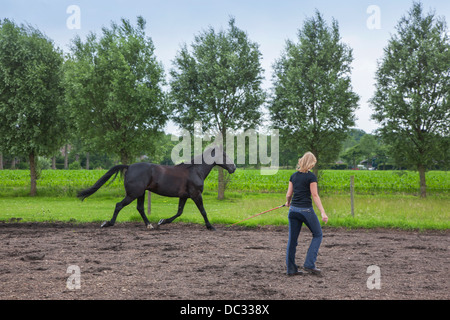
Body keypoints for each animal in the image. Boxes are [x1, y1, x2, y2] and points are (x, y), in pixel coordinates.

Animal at [77, 148, 236, 230]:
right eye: (224, 155)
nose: (234, 168)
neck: (195, 170)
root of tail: (129, 166)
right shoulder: (196, 195)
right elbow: (203, 211)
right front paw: (210, 226)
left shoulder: (184, 196)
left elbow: (179, 212)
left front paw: (162, 221)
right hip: (133, 194)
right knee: (119, 205)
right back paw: (108, 223)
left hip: (140, 193)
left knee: (140, 208)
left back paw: (150, 225)